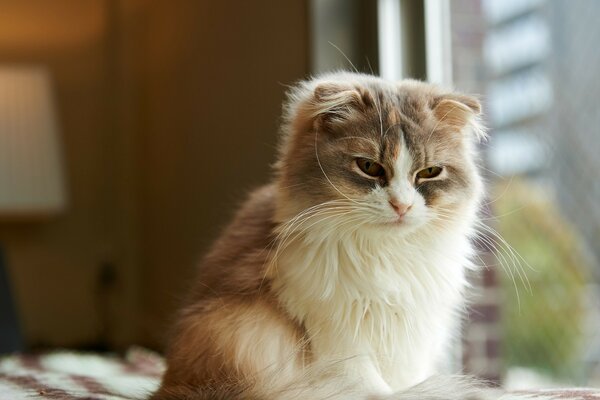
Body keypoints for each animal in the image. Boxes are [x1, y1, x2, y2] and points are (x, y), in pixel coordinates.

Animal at [152, 72, 494, 400]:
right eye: (369, 167)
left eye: (429, 172)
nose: (402, 206)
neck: (386, 251)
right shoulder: (338, 335)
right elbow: (375, 389)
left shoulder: (413, 335)